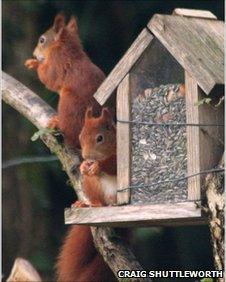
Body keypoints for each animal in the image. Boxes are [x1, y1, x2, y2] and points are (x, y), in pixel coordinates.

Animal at [25, 13, 105, 150]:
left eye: (42, 40)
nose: (34, 54)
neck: (66, 49)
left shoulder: (56, 61)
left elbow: (48, 78)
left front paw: (35, 63)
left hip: (69, 104)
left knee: (71, 139)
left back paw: (57, 124)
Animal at [56, 107, 116, 280]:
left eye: (100, 138)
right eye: (81, 136)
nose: (87, 156)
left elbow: (113, 165)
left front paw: (98, 166)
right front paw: (84, 165)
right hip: (91, 185)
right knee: (99, 201)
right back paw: (90, 204)